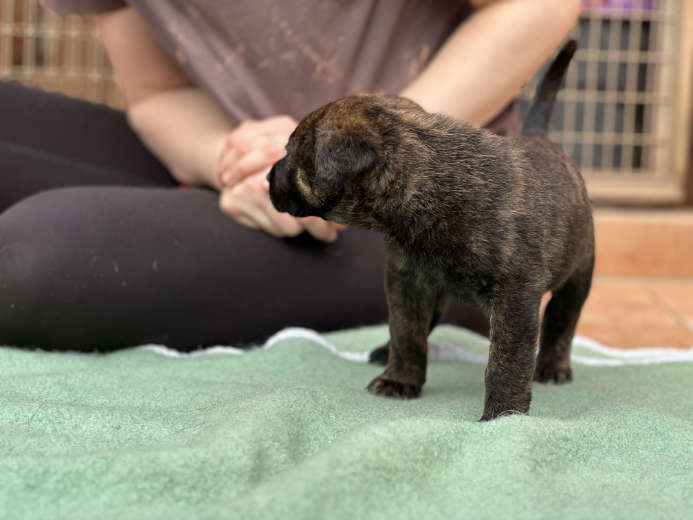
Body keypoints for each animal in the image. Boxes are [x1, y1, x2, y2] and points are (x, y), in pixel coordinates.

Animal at [268, 40, 594, 421]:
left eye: (289, 152)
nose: (267, 177)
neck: (429, 182)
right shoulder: (407, 282)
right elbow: (406, 332)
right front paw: (399, 380)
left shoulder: (516, 297)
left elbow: (507, 361)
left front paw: (504, 416)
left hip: (577, 277)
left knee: (561, 323)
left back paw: (553, 367)